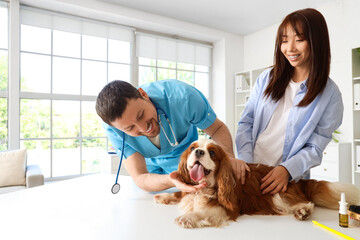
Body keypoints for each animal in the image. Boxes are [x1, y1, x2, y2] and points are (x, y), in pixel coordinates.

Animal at [154, 139, 360, 229]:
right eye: (192, 148)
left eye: (212, 153)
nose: (198, 152)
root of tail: (296, 180)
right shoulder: (190, 191)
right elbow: (179, 193)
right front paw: (164, 196)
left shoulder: (228, 208)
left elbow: (204, 211)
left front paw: (188, 217)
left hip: (276, 194)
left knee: (304, 202)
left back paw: (303, 211)